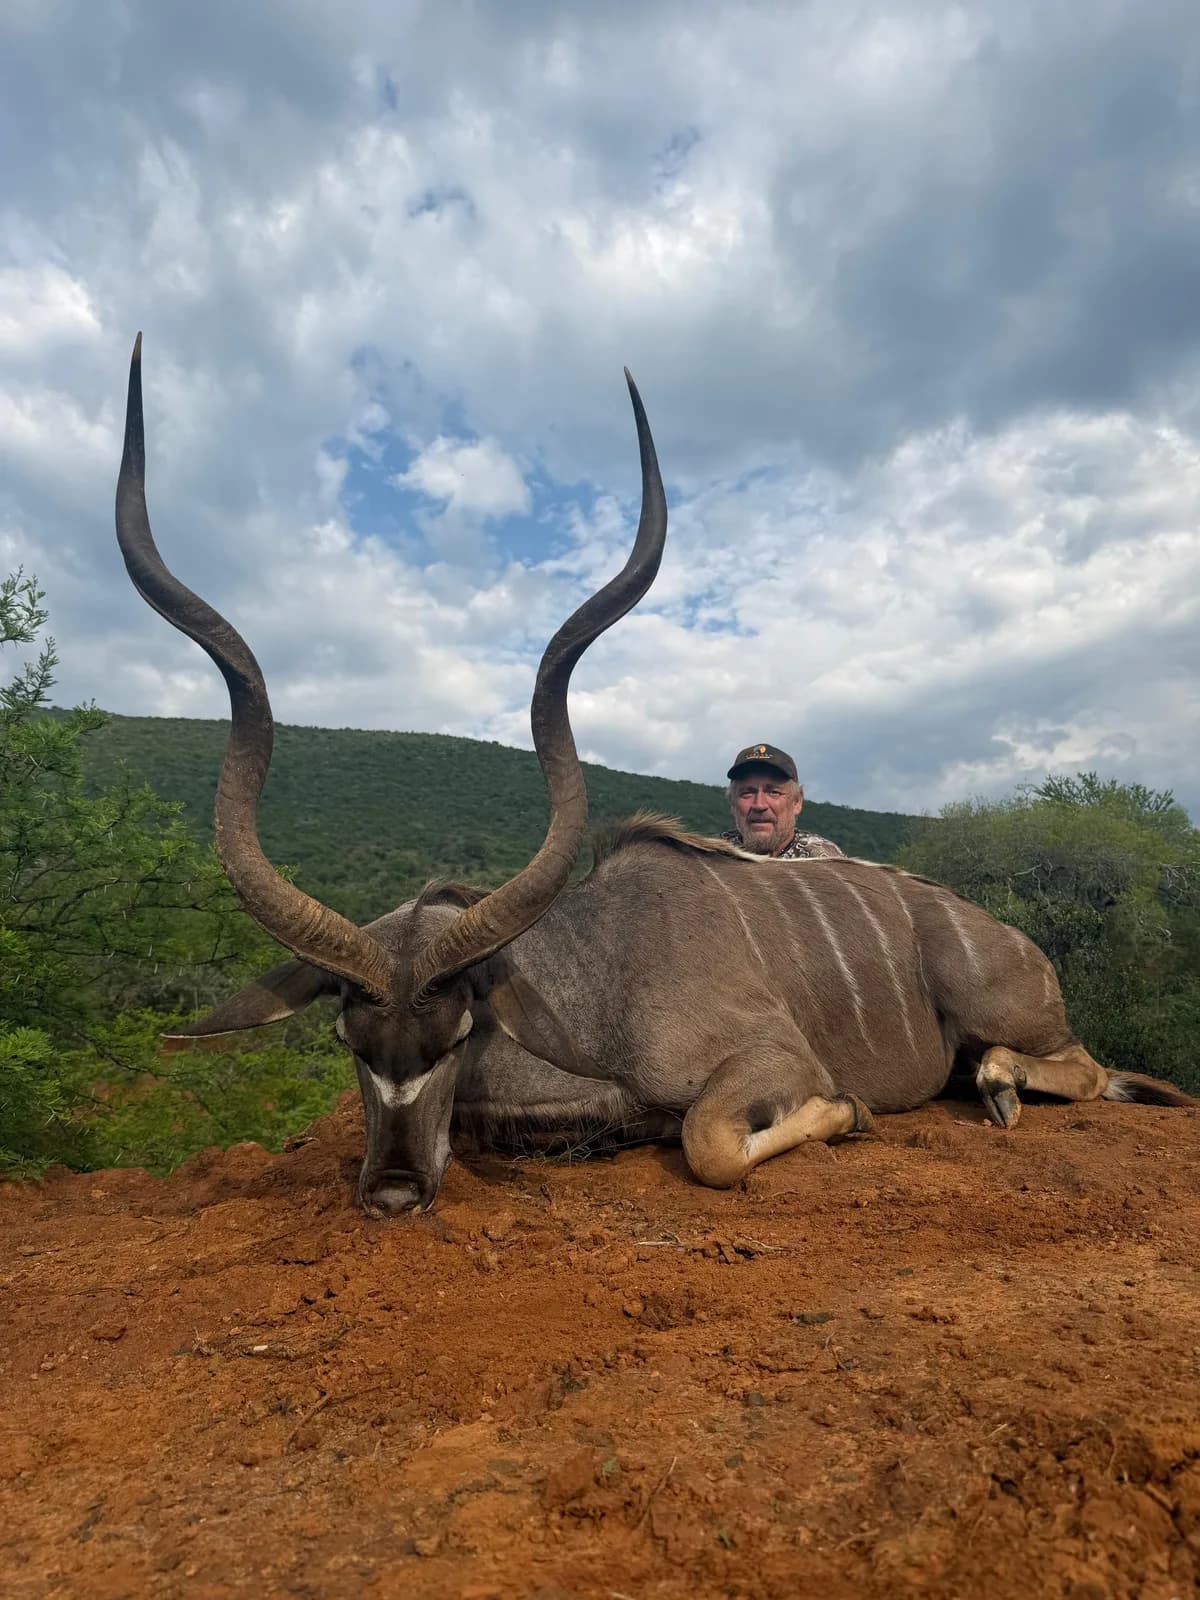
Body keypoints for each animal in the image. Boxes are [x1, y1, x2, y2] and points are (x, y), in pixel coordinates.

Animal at [115, 337, 1191, 1215]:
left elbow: (713, 1140)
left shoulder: (765, 1058)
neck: (595, 982)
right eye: (348, 1043)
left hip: (999, 1006)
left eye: (457, 1034)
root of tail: (1007, 937)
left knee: (1083, 1067)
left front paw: (846, 1112)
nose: (390, 1192)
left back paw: (1001, 1084)